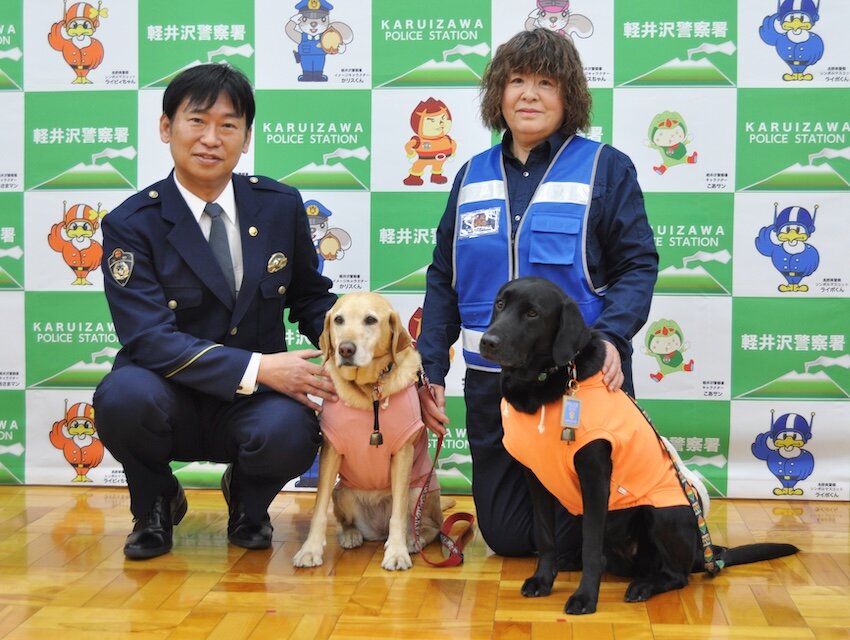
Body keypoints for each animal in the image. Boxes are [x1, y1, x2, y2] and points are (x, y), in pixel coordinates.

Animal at [292, 292, 443, 571]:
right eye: (338, 319)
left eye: (371, 320)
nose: (345, 349)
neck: (370, 390)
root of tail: (377, 529)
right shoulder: (331, 450)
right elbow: (318, 508)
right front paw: (310, 550)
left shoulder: (402, 454)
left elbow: (398, 515)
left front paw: (397, 552)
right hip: (343, 492)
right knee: (347, 522)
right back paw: (351, 535)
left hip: (419, 491)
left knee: (429, 526)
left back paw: (411, 540)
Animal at [479, 277, 798, 614]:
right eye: (500, 304)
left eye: (532, 314)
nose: (487, 341)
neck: (542, 385)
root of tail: (703, 555)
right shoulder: (536, 476)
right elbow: (545, 537)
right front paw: (542, 580)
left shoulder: (595, 476)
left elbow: (592, 547)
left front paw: (585, 597)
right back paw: (572, 561)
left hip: (665, 513)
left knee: (676, 575)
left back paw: (644, 586)